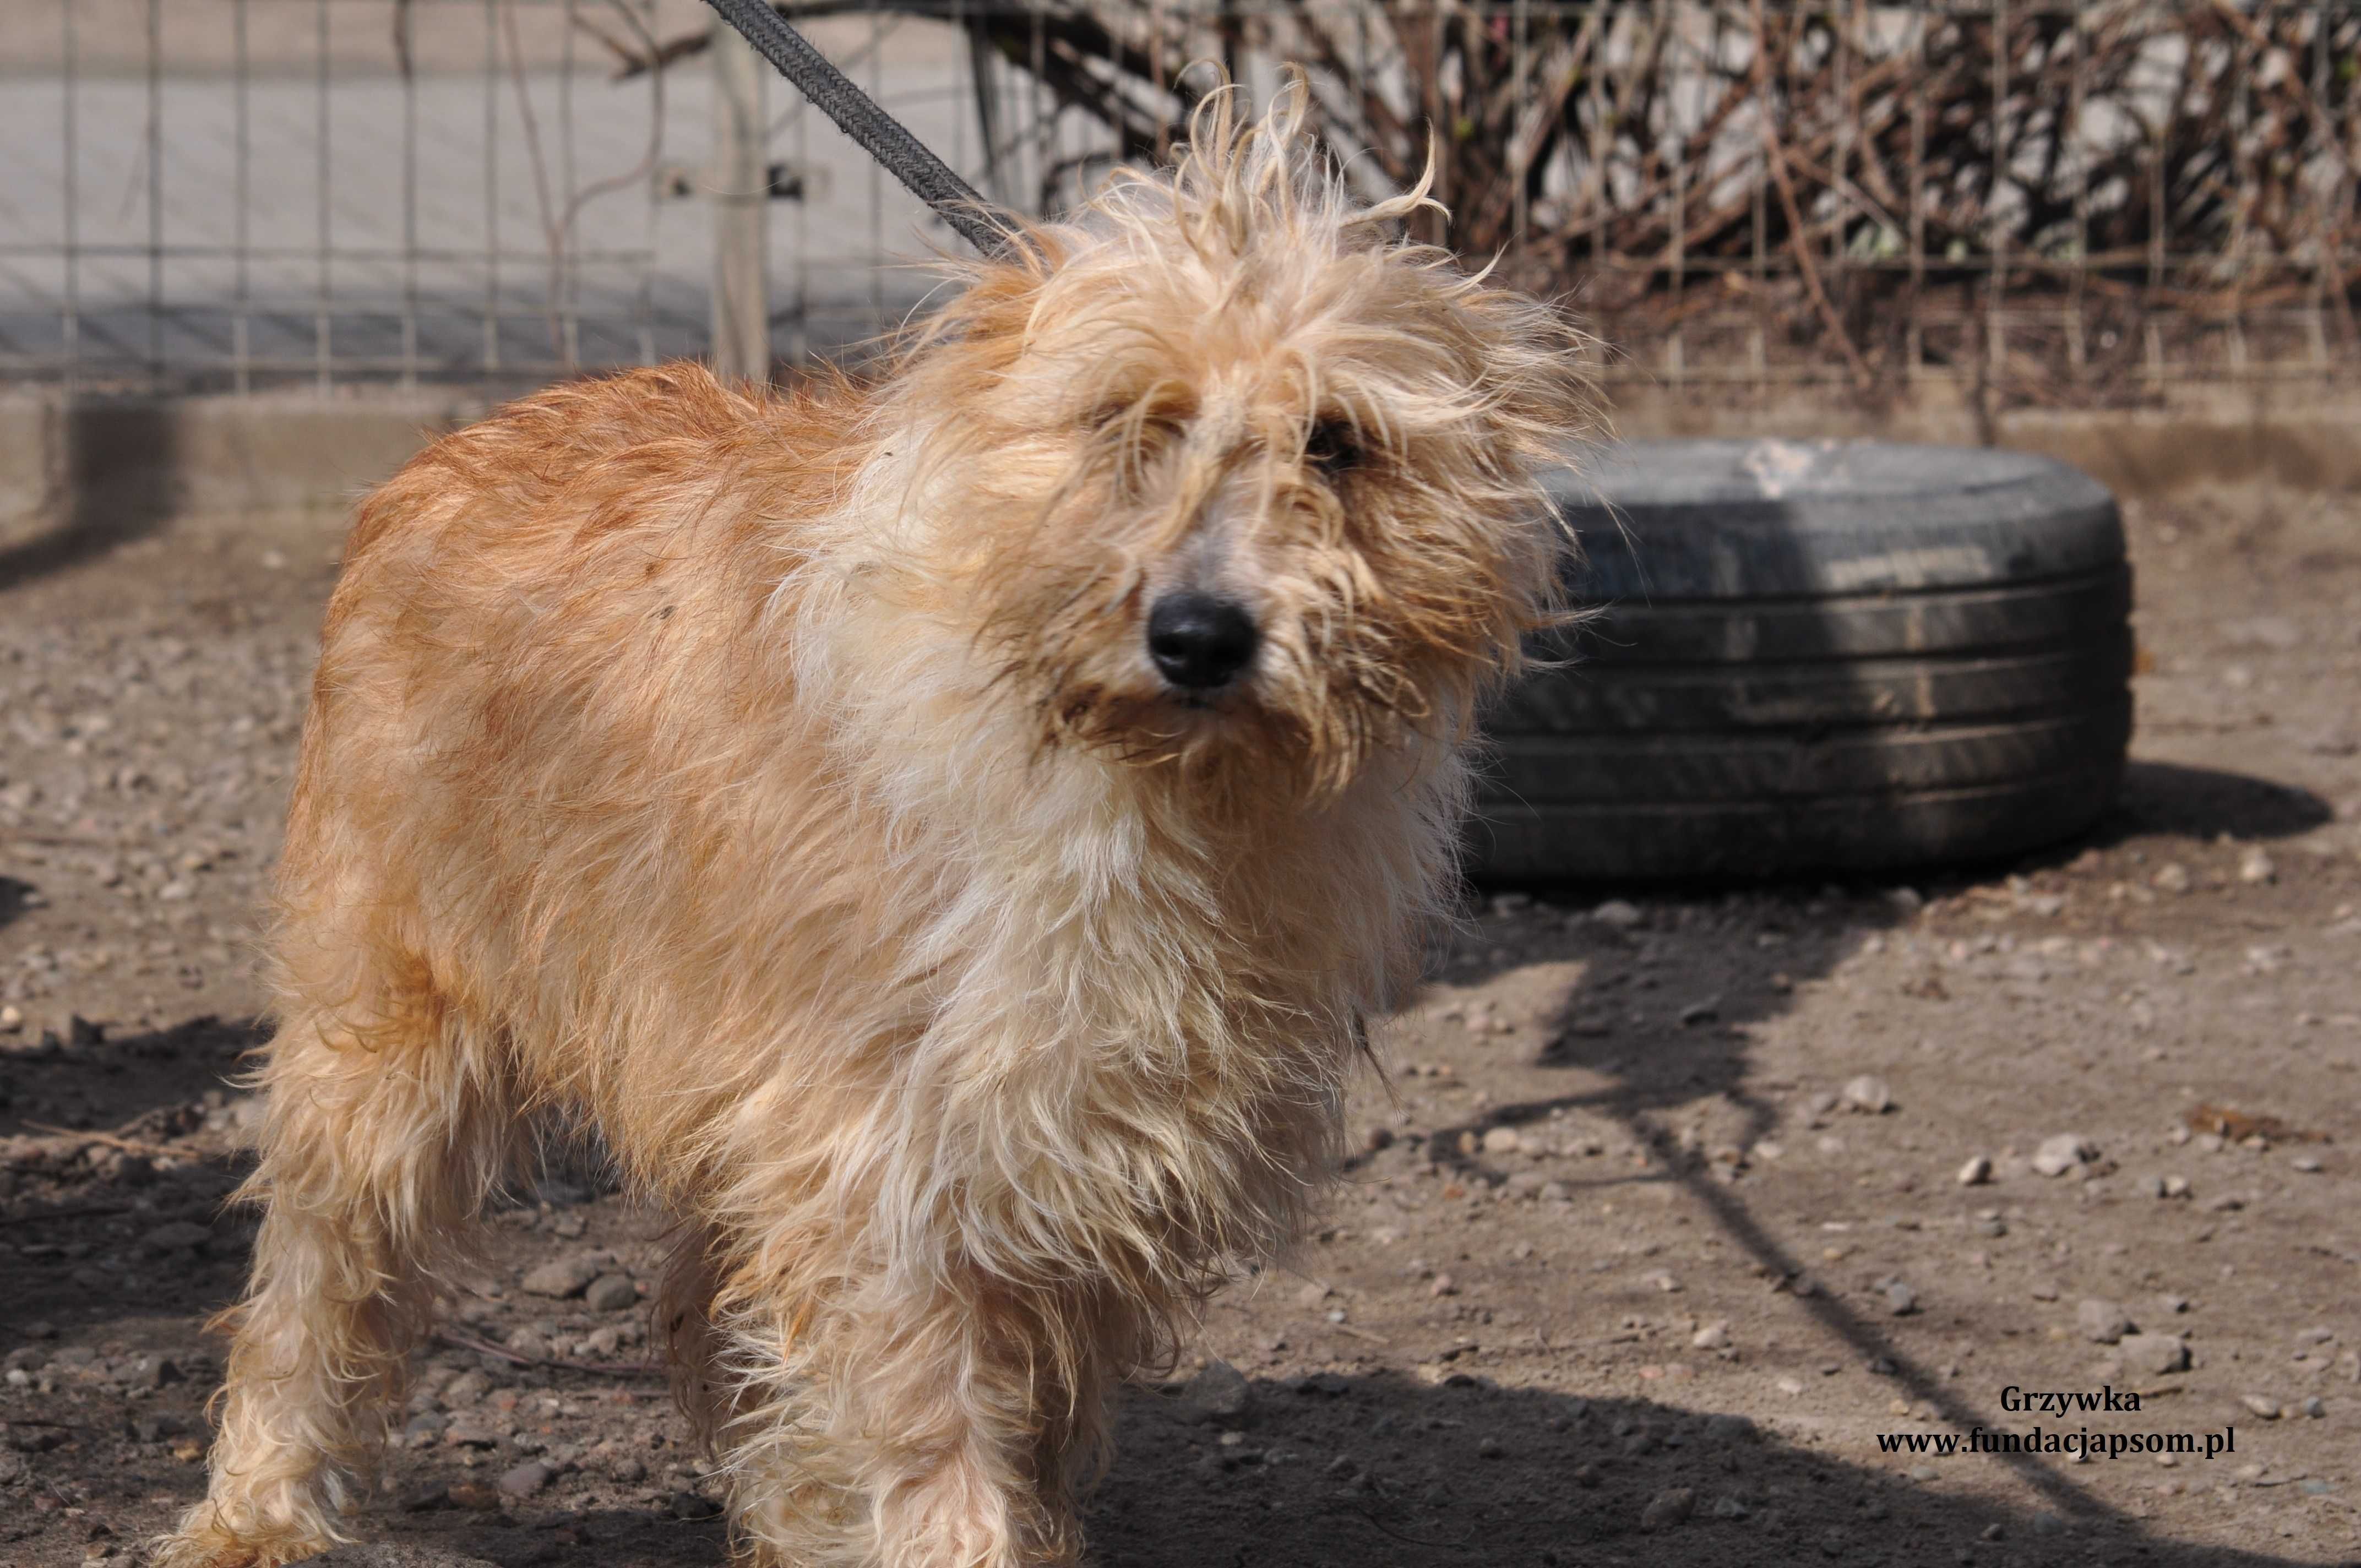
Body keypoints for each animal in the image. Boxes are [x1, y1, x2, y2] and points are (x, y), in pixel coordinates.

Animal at [157, 77, 1596, 1567]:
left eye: (1337, 441)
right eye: (1122, 423)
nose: (1199, 634)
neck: (1149, 795)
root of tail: (460, 440)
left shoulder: (1076, 1155)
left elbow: (1025, 1418)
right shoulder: (878, 1156)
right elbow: (931, 1438)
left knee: (702, 1307)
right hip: (387, 1036)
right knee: (315, 1285)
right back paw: (258, 1505)